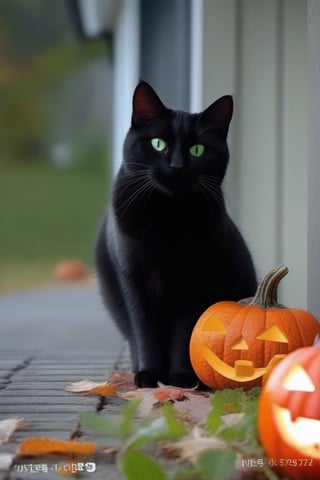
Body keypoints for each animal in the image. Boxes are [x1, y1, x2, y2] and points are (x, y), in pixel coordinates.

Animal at [95, 80, 258, 388]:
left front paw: (181, 378)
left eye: (197, 150)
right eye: (158, 144)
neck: (167, 220)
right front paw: (149, 375)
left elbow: (185, 334)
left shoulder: (193, 283)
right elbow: (144, 332)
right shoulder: (133, 280)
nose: (177, 166)